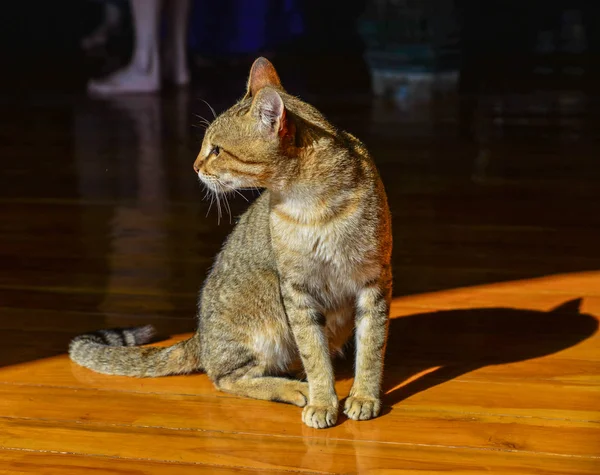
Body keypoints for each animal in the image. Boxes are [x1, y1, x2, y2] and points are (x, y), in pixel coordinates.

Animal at [69, 57, 394, 430]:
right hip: (265, 311)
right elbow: (315, 354)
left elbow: (371, 347)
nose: (194, 166)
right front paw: (323, 400)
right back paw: (295, 388)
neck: (313, 204)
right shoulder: (296, 290)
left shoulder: (374, 280)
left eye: (217, 150)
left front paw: (364, 396)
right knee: (226, 378)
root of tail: (200, 336)